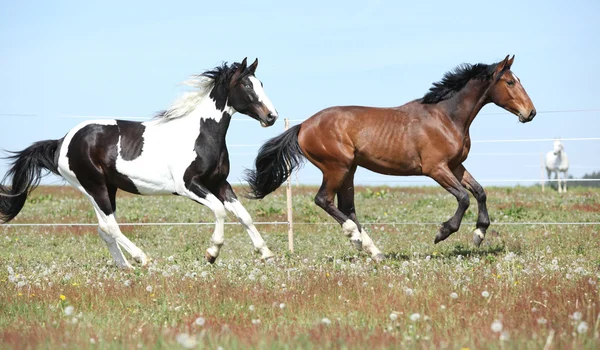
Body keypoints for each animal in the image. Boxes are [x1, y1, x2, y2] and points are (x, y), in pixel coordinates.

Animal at [0, 58, 276, 270]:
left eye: (262, 84)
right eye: (246, 85)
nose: (271, 116)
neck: (200, 134)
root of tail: (62, 141)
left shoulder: (219, 183)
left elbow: (244, 216)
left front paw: (266, 253)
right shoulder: (188, 186)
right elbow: (219, 211)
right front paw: (212, 253)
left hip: (106, 188)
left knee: (103, 228)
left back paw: (126, 267)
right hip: (94, 187)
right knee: (110, 226)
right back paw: (141, 258)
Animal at [246, 54, 536, 262]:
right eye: (510, 82)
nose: (530, 112)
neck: (446, 117)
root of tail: (303, 126)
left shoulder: (456, 166)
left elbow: (480, 191)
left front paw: (479, 234)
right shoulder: (436, 168)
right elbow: (464, 197)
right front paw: (442, 233)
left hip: (349, 170)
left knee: (347, 207)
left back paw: (374, 251)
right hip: (336, 167)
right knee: (324, 200)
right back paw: (356, 239)